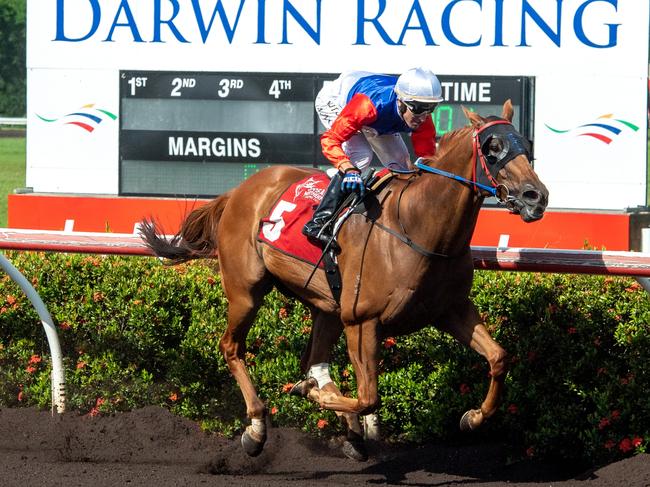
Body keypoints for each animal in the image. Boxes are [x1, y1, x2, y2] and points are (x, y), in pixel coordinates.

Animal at [140, 100, 548, 462]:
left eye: (526, 145)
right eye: (492, 149)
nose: (536, 196)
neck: (417, 227)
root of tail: (239, 190)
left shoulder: (450, 309)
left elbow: (498, 357)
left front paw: (472, 417)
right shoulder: (362, 320)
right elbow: (369, 396)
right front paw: (323, 401)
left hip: (327, 306)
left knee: (313, 360)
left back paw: (340, 421)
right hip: (247, 291)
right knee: (232, 347)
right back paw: (257, 429)